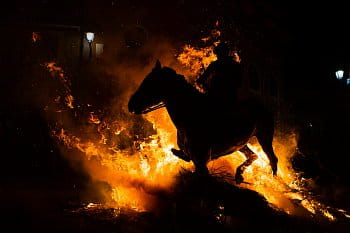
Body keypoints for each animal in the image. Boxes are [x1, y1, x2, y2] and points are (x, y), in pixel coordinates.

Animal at [127, 60, 278, 184]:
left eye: (150, 83)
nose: (131, 105)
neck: (192, 115)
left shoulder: (201, 163)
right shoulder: (195, 160)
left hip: (264, 137)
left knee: (272, 159)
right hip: (241, 144)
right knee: (253, 155)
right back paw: (239, 175)